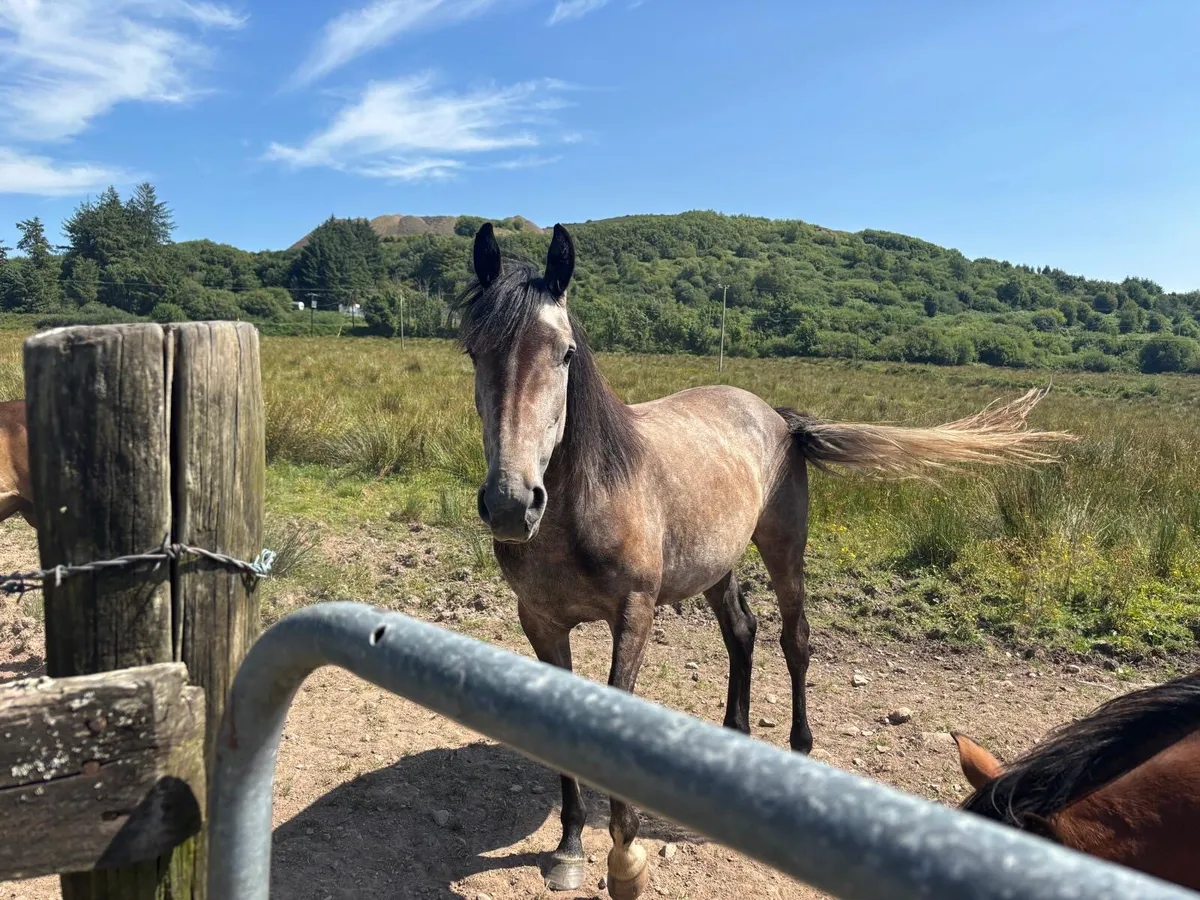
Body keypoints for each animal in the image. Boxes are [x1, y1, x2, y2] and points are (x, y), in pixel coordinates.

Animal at [458, 221, 1073, 900]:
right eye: (474, 351)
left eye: (565, 353)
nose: (512, 503)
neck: (587, 500)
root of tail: (779, 417)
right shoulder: (540, 621)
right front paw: (569, 844)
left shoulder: (634, 613)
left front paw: (624, 855)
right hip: (717, 565)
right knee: (742, 633)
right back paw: (735, 736)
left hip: (784, 551)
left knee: (793, 639)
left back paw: (800, 745)